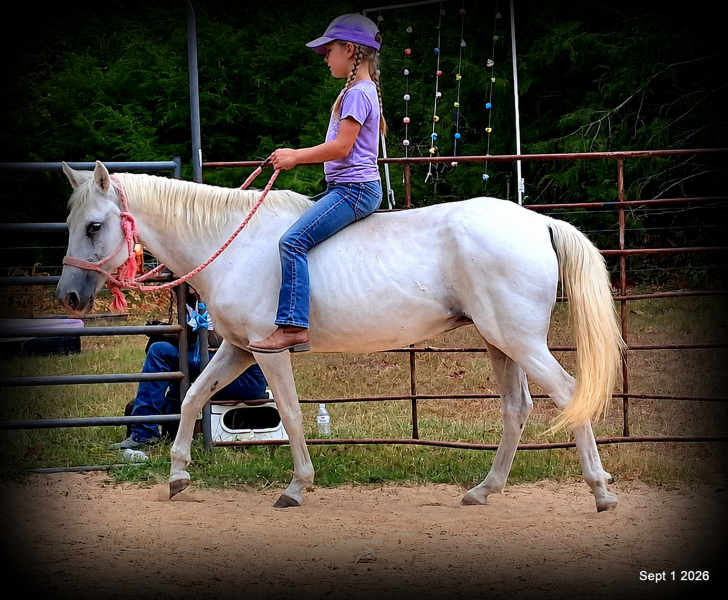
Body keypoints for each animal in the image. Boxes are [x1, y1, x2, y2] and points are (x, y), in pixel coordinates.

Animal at [56, 161, 624, 512]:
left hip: (521, 342)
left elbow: (289, 414)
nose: (68, 297)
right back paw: (484, 490)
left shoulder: (267, 350)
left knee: (569, 395)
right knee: (516, 409)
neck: (233, 243)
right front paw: (177, 477)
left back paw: (599, 492)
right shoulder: (238, 349)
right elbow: (194, 396)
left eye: (93, 226)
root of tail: (537, 223)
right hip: (498, 343)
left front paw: (296, 487)